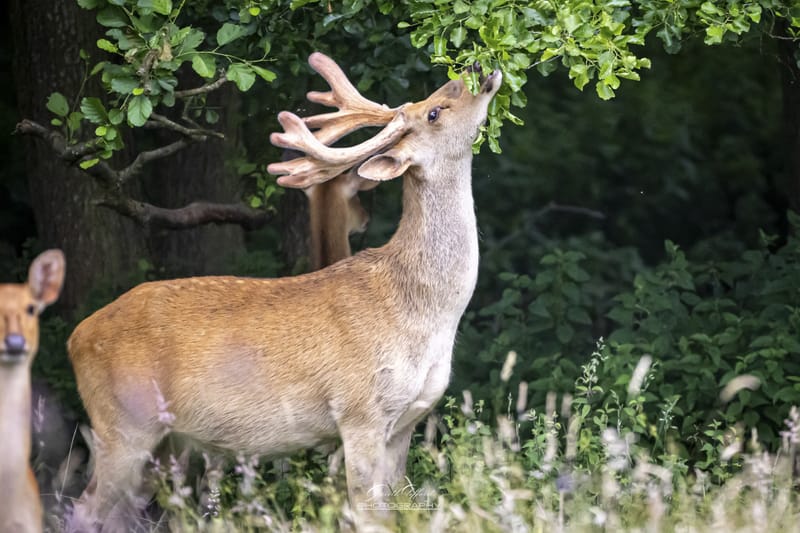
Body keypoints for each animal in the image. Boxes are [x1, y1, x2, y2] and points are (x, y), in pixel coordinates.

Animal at [67, 52, 501, 529]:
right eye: (434, 111)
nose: (476, 68)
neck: (424, 313)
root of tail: (76, 337)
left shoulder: (406, 422)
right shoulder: (359, 412)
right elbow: (367, 513)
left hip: (166, 442)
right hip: (123, 424)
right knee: (83, 508)